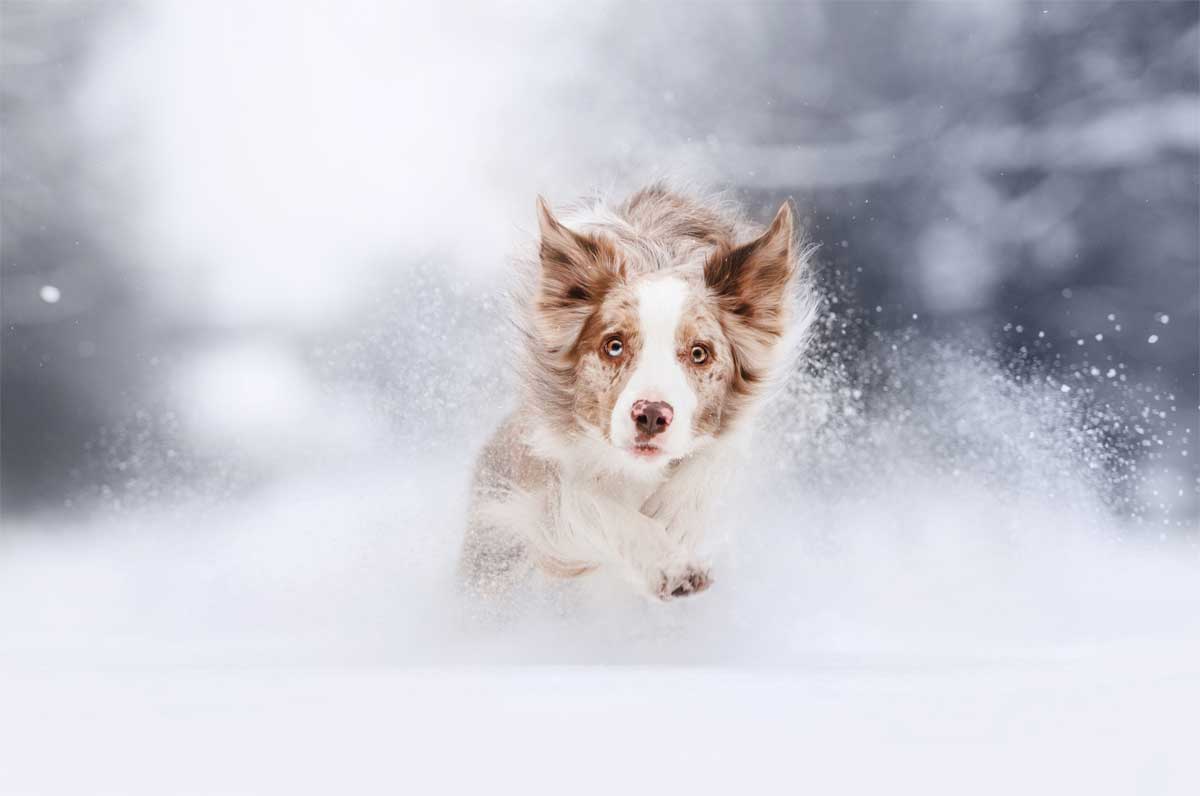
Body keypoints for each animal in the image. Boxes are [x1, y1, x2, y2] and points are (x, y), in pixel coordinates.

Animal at [458, 183, 816, 600]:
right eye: (613, 346)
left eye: (699, 353)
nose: (651, 416)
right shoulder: (545, 487)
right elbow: (588, 501)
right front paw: (671, 564)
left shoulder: (735, 433)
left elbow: (711, 462)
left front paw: (673, 517)